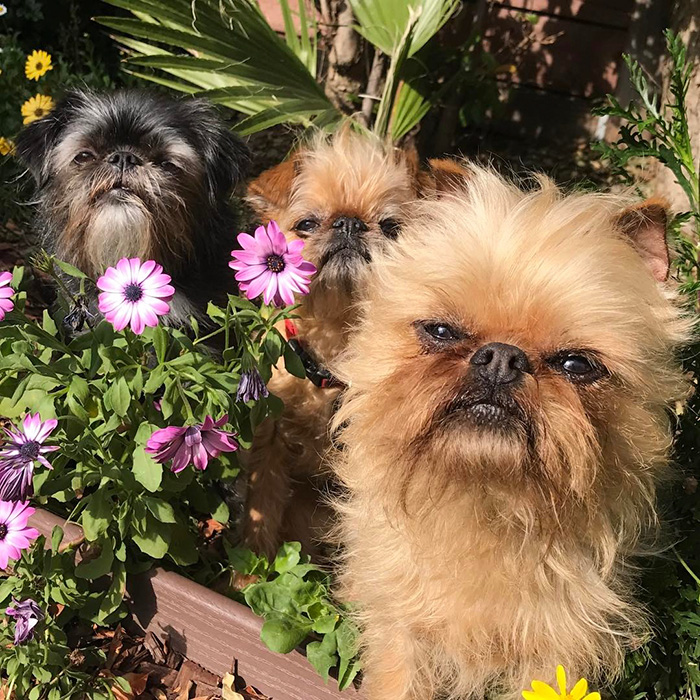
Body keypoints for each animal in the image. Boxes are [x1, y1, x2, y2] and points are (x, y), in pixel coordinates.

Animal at [241, 130, 464, 556]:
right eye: (306, 224)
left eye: (392, 227)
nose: (348, 224)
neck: (336, 348)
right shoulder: (269, 443)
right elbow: (261, 515)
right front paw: (249, 569)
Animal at [330, 165, 688, 700]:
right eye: (441, 332)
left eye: (576, 364)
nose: (502, 357)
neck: (490, 505)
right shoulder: (402, 633)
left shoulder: (558, 654)